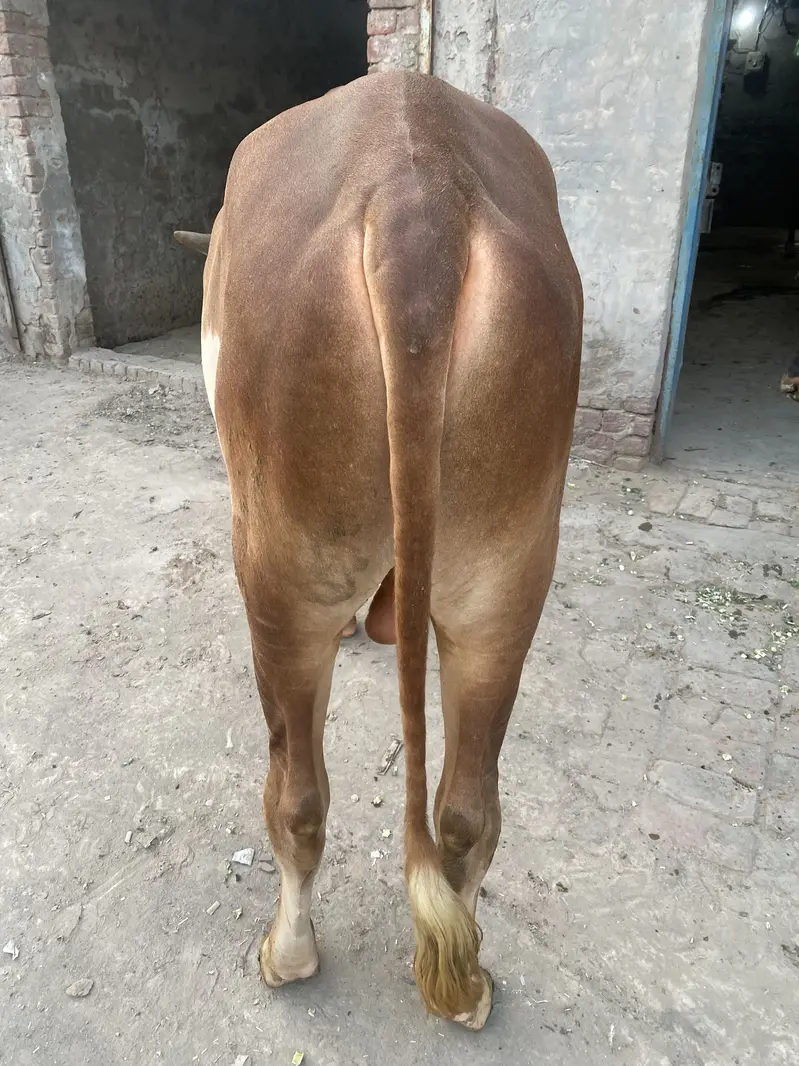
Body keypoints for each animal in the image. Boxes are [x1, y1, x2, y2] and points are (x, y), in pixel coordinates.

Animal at [174, 71, 582, 1029]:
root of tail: (415, 201)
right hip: (506, 571)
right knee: (466, 808)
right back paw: (467, 989)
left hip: (283, 567)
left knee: (297, 796)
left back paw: (287, 955)